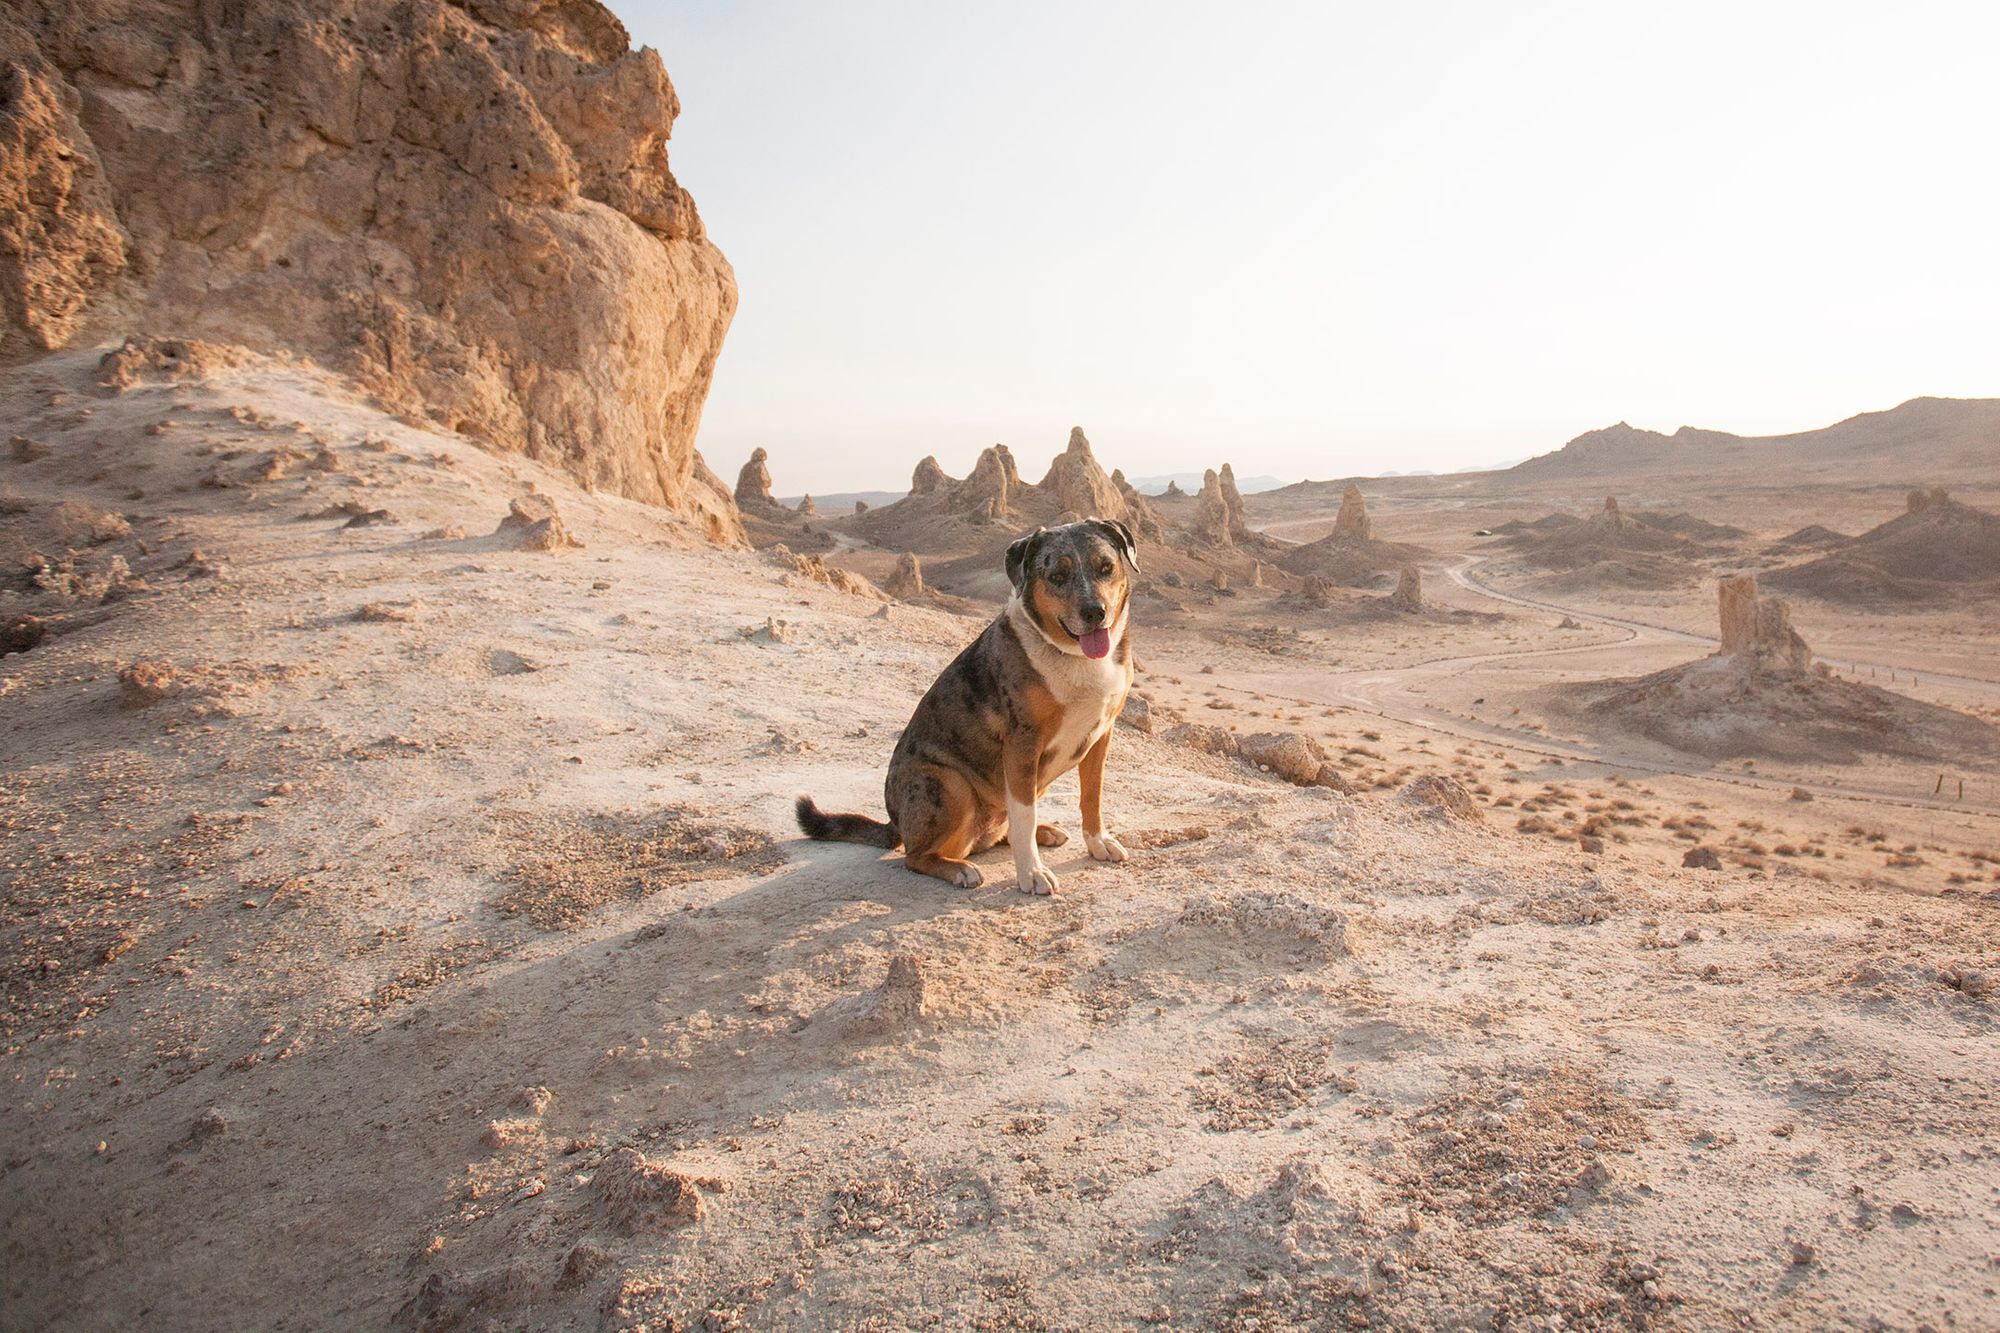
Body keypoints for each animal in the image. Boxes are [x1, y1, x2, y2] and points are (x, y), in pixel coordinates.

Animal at [796, 512, 1144, 888]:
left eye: (1105, 567)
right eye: (1057, 576)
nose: (1095, 612)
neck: (1071, 656)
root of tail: (895, 823)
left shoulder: (1100, 735)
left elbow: (1091, 796)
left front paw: (1098, 842)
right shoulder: (1022, 745)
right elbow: (1023, 817)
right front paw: (1031, 873)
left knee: (1001, 830)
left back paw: (1043, 831)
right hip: (949, 784)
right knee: (915, 856)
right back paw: (959, 868)